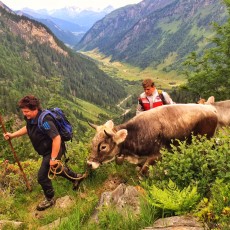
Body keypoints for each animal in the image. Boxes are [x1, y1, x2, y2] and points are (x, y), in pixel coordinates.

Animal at [86, 104, 217, 174]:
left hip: (203, 142)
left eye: (103, 146)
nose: (89, 164)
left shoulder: (156, 155)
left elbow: (142, 173)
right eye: (92, 142)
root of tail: (211, 108)